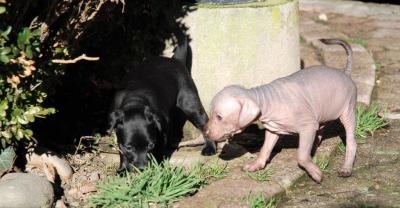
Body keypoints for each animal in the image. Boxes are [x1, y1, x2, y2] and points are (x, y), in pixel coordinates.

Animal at [107, 38, 216, 171]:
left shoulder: (162, 129)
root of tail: (175, 60)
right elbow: (121, 152)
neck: (135, 100)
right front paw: (123, 169)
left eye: (150, 146)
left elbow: (159, 149)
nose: (142, 168)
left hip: (189, 103)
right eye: (129, 147)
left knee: (203, 121)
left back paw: (210, 148)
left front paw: (157, 169)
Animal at [205, 38, 358, 182]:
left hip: (348, 111)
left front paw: (315, 173)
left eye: (219, 117)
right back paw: (314, 145)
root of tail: (345, 73)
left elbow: (301, 156)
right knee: (319, 131)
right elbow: (265, 149)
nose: (205, 132)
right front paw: (256, 165)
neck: (265, 100)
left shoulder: (307, 126)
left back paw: (346, 168)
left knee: (351, 143)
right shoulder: (274, 129)